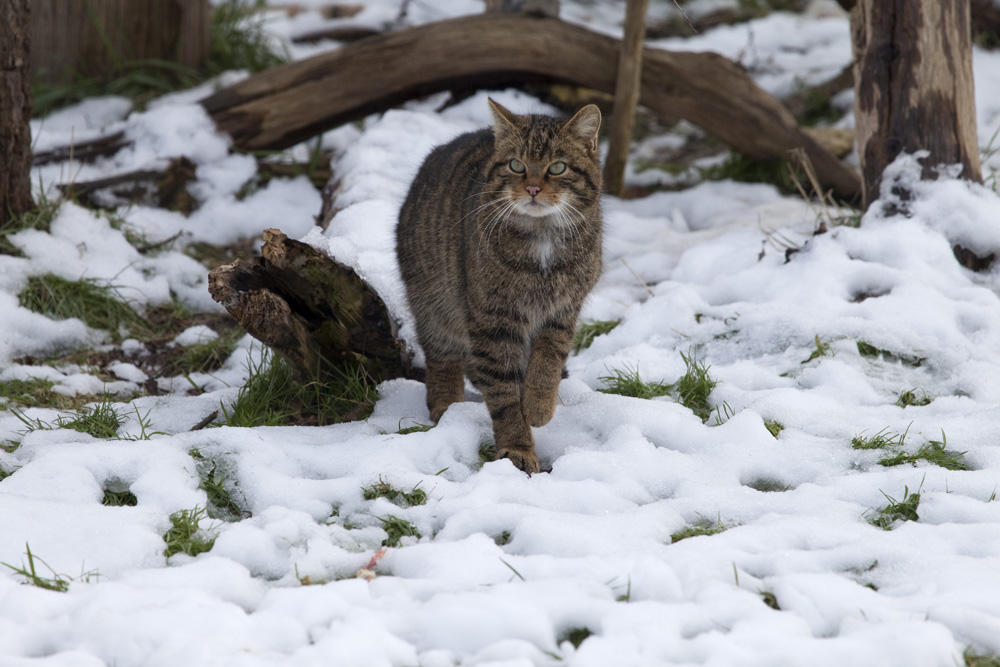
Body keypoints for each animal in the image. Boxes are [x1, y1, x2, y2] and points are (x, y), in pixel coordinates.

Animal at [396, 100, 600, 474]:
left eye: (558, 167)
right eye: (517, 165)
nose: (532, 189)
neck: (542, 238)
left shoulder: (564, 310)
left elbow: (548, 362)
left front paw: (539, 405)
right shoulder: (493, 321)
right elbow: (504, 394)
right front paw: (518, 448)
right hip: (436, 306)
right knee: (443, 361)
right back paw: (449, 408)